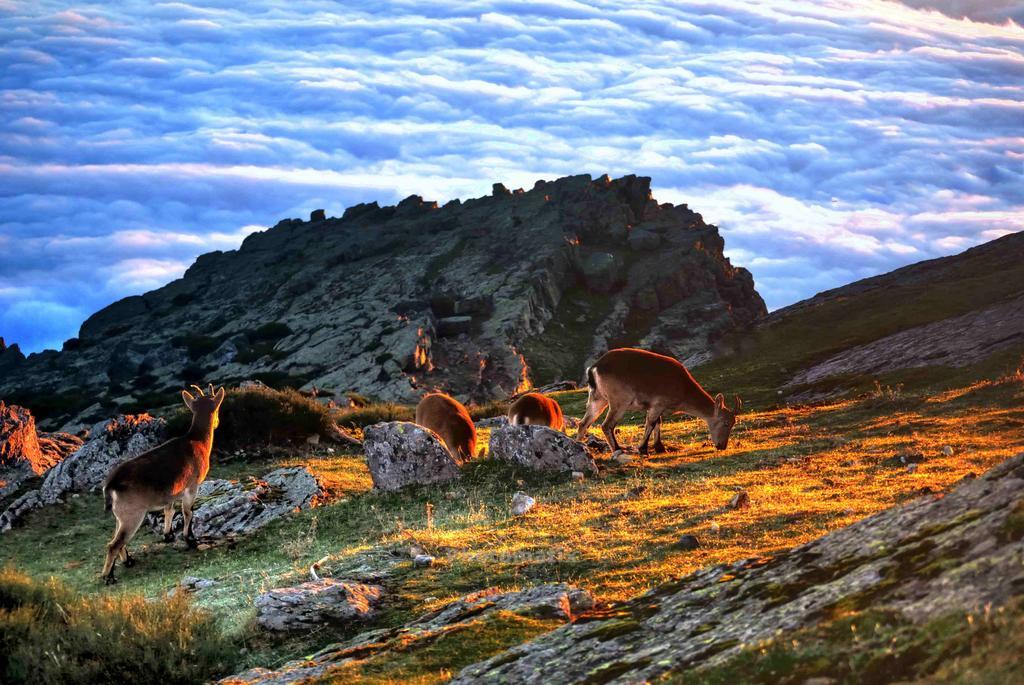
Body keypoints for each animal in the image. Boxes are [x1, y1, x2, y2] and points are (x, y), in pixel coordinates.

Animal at [100, 384, 225, 581]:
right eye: (218, 409)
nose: (218, 422)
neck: (197, 441)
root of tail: (111, 485)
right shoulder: (192, 486)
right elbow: (188, 512)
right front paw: (190, 538)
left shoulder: (172, 493)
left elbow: (169, 510)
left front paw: (169, 535)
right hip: (132, 514)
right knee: (114, 544)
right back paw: (108, 577)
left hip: (121, 515)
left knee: (116, 538)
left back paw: (128, 560)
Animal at [573, 350, 741, 456]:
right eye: (726, 423)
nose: (722, 446)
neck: (683, 388)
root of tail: (594, 368)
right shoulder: (658, 404)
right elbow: (651, 423)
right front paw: (643, 448)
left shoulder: (656, 406)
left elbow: (658, 423)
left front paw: (659, 447)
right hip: (619, 401)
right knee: (607, 425)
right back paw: (618, 449)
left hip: (597, 398)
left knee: (583, 423)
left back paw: (578, 446)